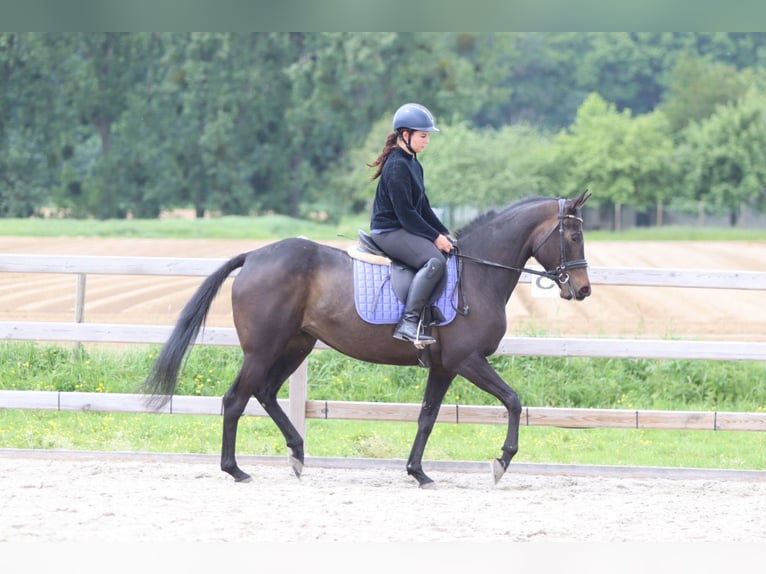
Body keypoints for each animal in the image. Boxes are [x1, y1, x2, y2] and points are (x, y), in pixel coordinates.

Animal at [142, 191, 592, 488]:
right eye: (573, 237)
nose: (583, 290)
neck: (477, 274)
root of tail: (253, 256)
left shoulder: (444, 367)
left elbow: (427, 417)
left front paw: (418, 472)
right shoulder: (468, 360)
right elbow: (513, 401)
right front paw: (502, 461)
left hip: (295, 345)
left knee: (266, 393)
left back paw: (298, 453)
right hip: (263, 349)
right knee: (236, 399)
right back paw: (235, 469)